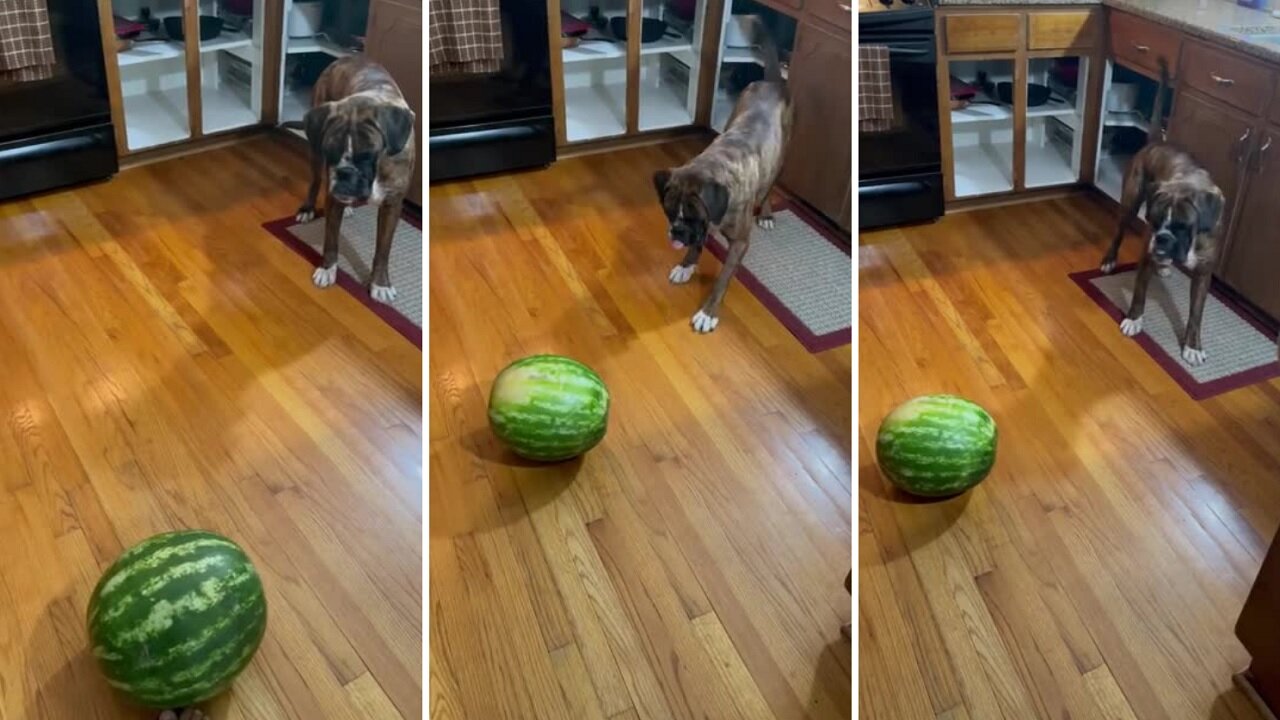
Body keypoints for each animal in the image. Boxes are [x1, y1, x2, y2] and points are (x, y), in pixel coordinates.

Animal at [291, 56, 412, 302]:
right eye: (331, 153)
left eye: (367, 155)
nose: (345, 173)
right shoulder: (332, 194)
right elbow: (331, 240)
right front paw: (327, 269)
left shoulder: (392, 205)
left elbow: (383, 250)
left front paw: (380, 284)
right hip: (315, 155)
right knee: (315, 181)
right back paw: (308, 209)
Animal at [650, 25, 788, 333]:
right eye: (669, 211)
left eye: (694, 217)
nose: (676, 232)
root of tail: (772, 83)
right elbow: (698, 245)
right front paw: (687, 265)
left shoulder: (738, 243)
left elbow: (723, 279)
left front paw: (708, 312)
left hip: (782, 157)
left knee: (770, 186)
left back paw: (767, 213)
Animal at [1100, 57, 1218, 363]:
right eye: (1152, 221)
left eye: (1182, 226)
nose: (1161, 239)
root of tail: (1156, 142)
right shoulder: (1146, 254)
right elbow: (1139, 293)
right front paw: (1133, 320)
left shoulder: (1204, 272)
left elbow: (1196, 313)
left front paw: (1193, 346)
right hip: (1130, 204)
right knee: (1118, 234)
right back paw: (1110, 260)